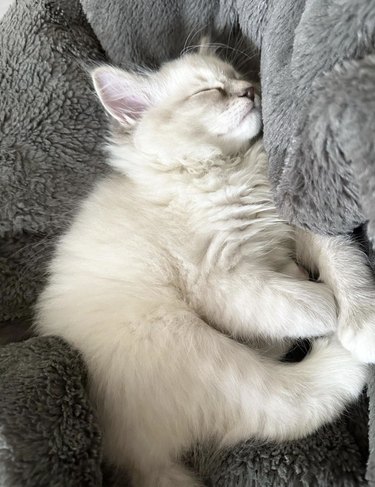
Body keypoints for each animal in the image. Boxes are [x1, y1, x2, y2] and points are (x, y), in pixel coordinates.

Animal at [35, 43, 375, 486]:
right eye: (210, 91)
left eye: (238, 78)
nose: (251, 90)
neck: (223, 171)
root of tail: (128, 460)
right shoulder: (218, 278)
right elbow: (296, 301)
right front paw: (327, 311)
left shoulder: (292, 226)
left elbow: (344, 262)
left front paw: (363, 320)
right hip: (188, 341)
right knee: (288, 402)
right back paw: (339, 356)